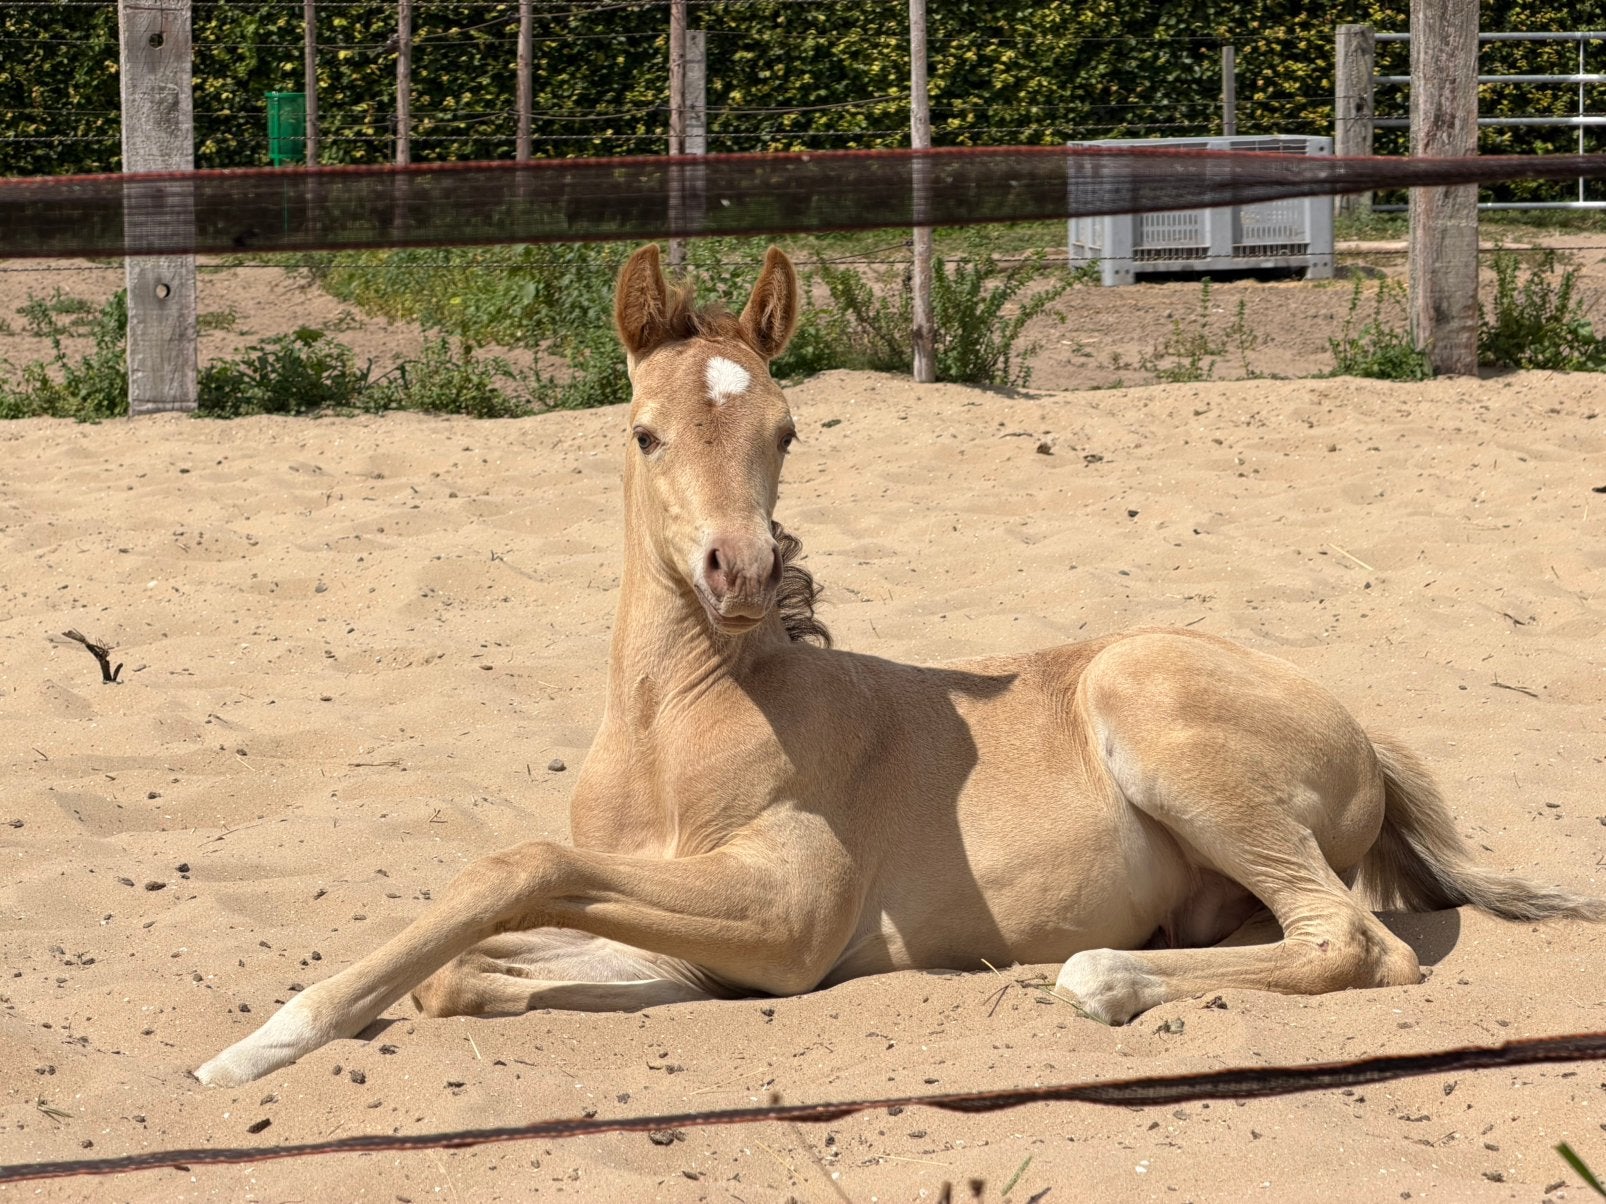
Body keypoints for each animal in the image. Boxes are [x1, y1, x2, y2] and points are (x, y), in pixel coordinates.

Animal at [195, 244, 1603, 1087]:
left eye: (787, 428)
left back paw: (1095, 975)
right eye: (645, 431)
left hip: (1155, 712)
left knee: (1353, 941)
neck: (676, 724)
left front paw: (264, 1040)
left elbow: (515, 867)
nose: (743, 572)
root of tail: (1363, 728)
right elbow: (473, 966)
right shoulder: (710, 947)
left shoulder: (789, 913)